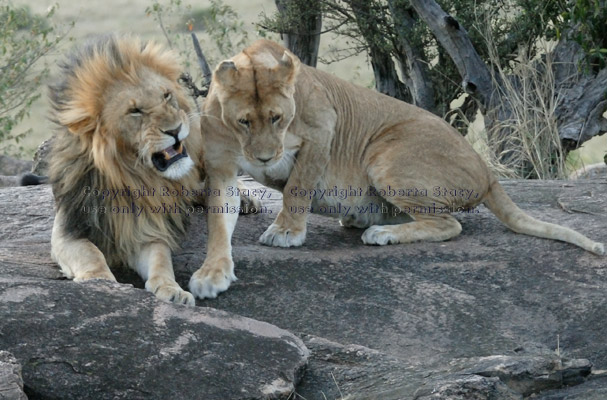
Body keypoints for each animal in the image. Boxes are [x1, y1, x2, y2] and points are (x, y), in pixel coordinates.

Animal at [48, 36, 254, 306]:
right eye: (135, 111)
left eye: (166, 96)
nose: (175, 129)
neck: (134, 178)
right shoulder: (68, 229)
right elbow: (90, 253)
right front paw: (100, 281)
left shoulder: (147, 228)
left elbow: (160, 258)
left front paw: (171, 289)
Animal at [188, 39, 604, 298]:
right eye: (244, 121)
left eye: (277, 118)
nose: (264, 158)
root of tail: (488, 172)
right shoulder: (221, 165)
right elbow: (218, 225)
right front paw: (211, 275)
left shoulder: (323, 128)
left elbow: (297, 187)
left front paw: (286, 232)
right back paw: (364, 219)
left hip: (383, 157)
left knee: (448, 224)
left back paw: (381, 233)